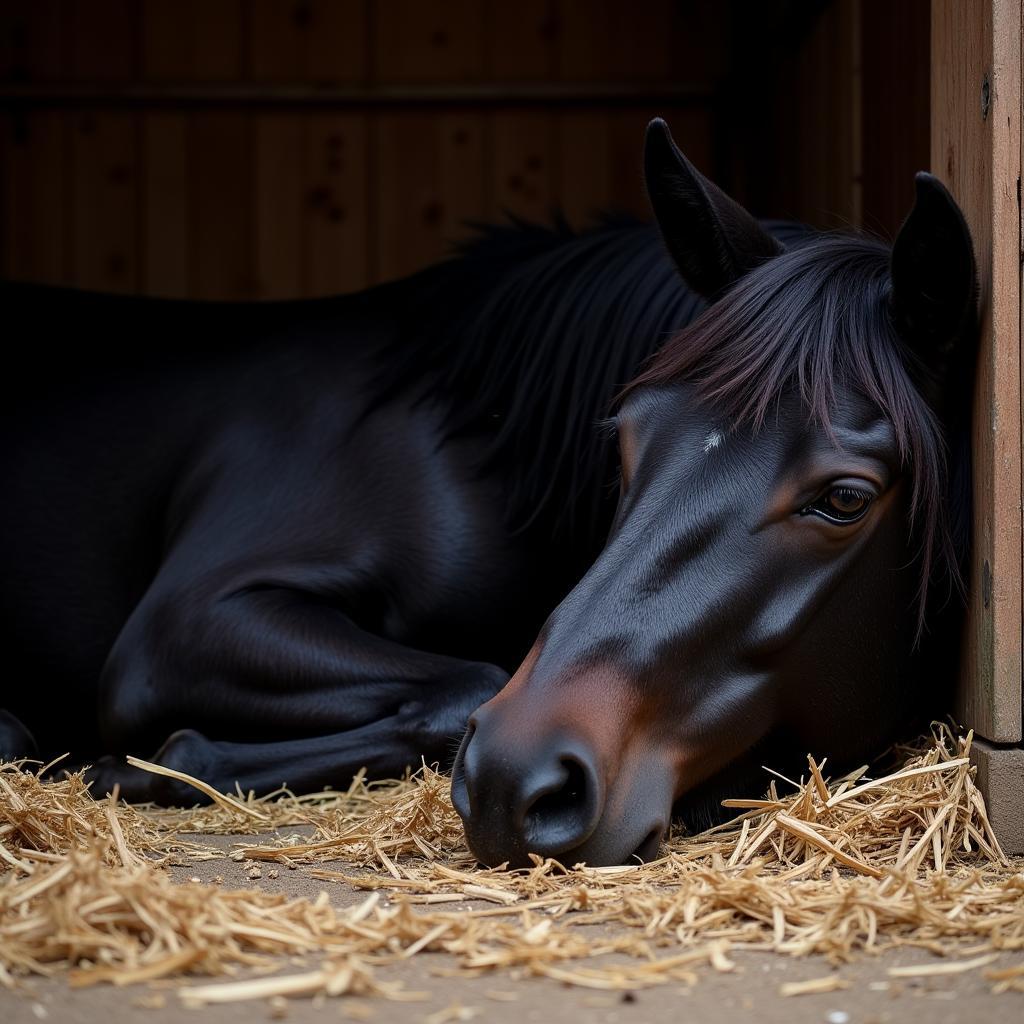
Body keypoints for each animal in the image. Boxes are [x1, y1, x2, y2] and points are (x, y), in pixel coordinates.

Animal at [2, 123, 974, 868]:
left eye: (844, 499)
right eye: (626, 440)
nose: (514, 780)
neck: (479, 434)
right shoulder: (181, 625)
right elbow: (470, 677)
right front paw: (139, 765)